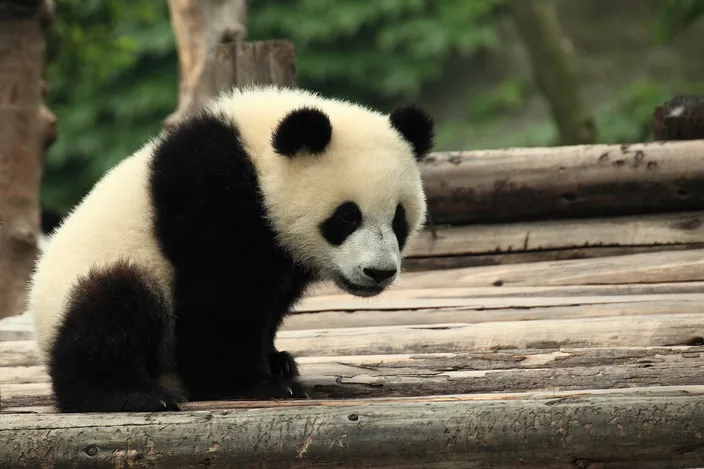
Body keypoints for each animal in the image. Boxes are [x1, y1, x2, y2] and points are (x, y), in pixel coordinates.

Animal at [27, 85, 434, 413]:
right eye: (347, 216)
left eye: (398, 219)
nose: (378, 272)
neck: (257, 157)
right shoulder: (211, 196)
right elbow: (221, 299)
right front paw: (256, 384)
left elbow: (268, 302)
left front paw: (275, 361)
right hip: (101, 277)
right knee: (113, 306)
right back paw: (127, 394)